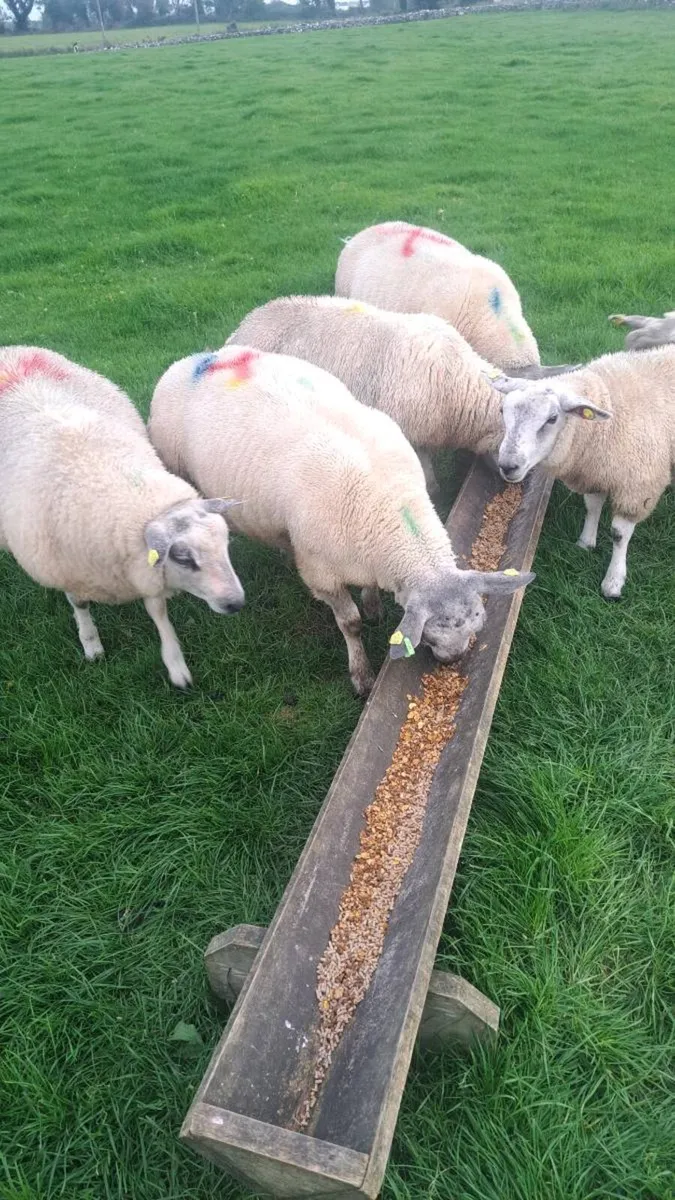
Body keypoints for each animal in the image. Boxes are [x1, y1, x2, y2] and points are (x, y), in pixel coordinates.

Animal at [0, 346, 245, 687]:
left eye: (226, 545)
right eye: (184, 558)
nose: (237, 603)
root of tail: (10, 351)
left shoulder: (143, 567)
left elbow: (158, 611)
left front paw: (175, 665)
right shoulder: (65, 569)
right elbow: (80, 605)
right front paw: (91, 644)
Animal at [148, 345, 533, 695]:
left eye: (477, 623)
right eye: (432, 633)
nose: (452, 660)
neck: (388, 508)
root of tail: (193, 359)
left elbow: (371, 589)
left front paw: (374, 607)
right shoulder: (322, 574)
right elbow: (350, 623)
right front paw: (361, 675)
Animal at [487, 345, 675, 598]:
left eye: (552, 418)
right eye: (501, 410)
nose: (508, 466)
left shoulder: (637, 486)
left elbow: (619, 534)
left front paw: (613, 581)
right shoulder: (594, 474)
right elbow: (592, 508)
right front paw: (586, 543)